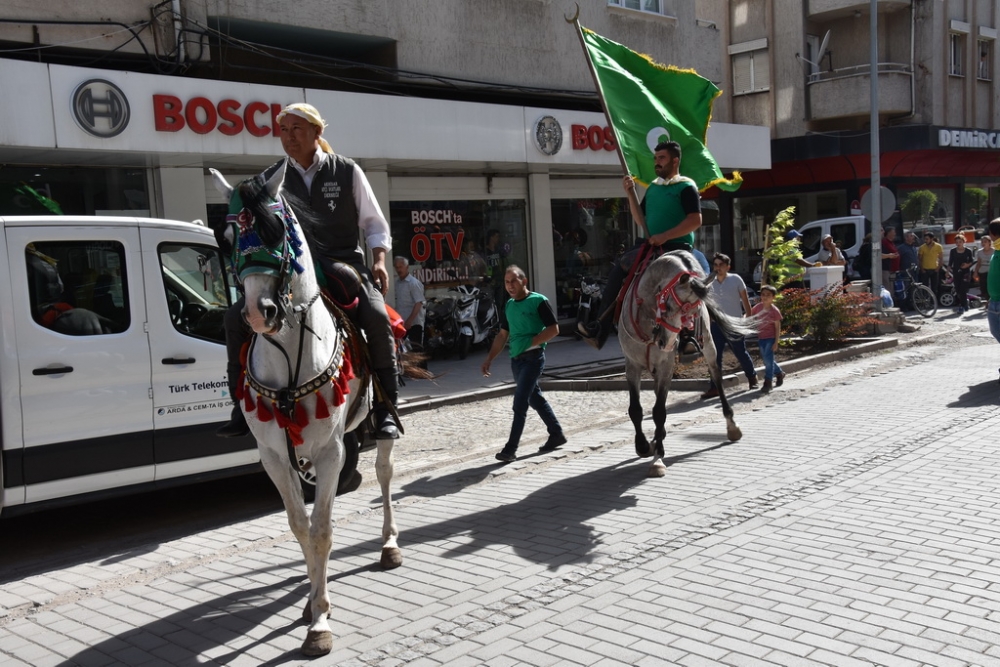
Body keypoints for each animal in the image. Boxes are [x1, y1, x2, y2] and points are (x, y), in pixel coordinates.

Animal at [212, 167, 402, 656]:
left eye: (276, 231)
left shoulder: (330, 452)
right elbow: (300, 526)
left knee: (384, 474)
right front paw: (312, 602)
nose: (258, 313)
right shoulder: (276, 458)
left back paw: (389, 544)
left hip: (379, 426)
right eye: (228, 237)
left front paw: (319, 621)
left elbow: (322, 529)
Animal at [616, 248, 752, 478]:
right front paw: (643, 445)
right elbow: (635, 409)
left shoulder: (666, 366)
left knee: (717, 377)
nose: (666, 342)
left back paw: (731, 426)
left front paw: (658, 458)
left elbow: (659, 412)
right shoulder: (632, 364)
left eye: (694, 311)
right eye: (669, 305)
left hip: (709, 345)